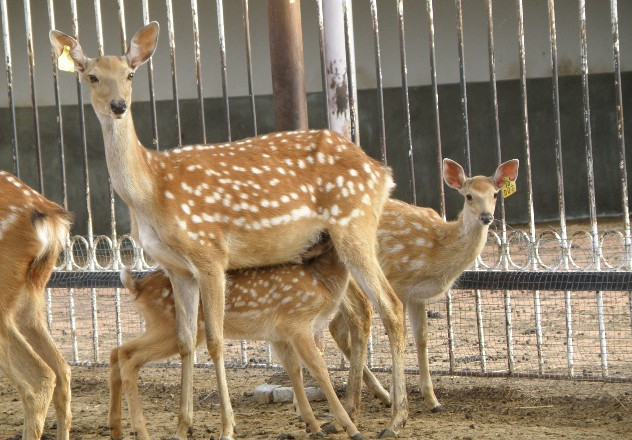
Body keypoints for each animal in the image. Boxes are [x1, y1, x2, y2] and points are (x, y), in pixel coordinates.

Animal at [110, 239, 366, 440]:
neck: (322, 282)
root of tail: (137, 286)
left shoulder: (278, 335)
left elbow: (294, 370)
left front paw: (313, 425)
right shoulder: (297, 322)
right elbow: (320, 369)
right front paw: (350, 428)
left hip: (160, 327)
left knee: (118, 351)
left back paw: (117, 429)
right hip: (168, 327)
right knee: (128, 356)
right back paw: (141, 431)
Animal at [330, 158, 520, 420]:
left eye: (494, 194)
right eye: (469, 196)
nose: (486, 217)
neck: (436, 249)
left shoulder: (416, 296)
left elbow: (421, 338)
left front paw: (433, 400)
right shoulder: (398, 282)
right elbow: (398, 332)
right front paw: (400, 396)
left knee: (335, 327)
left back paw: (378, 396)